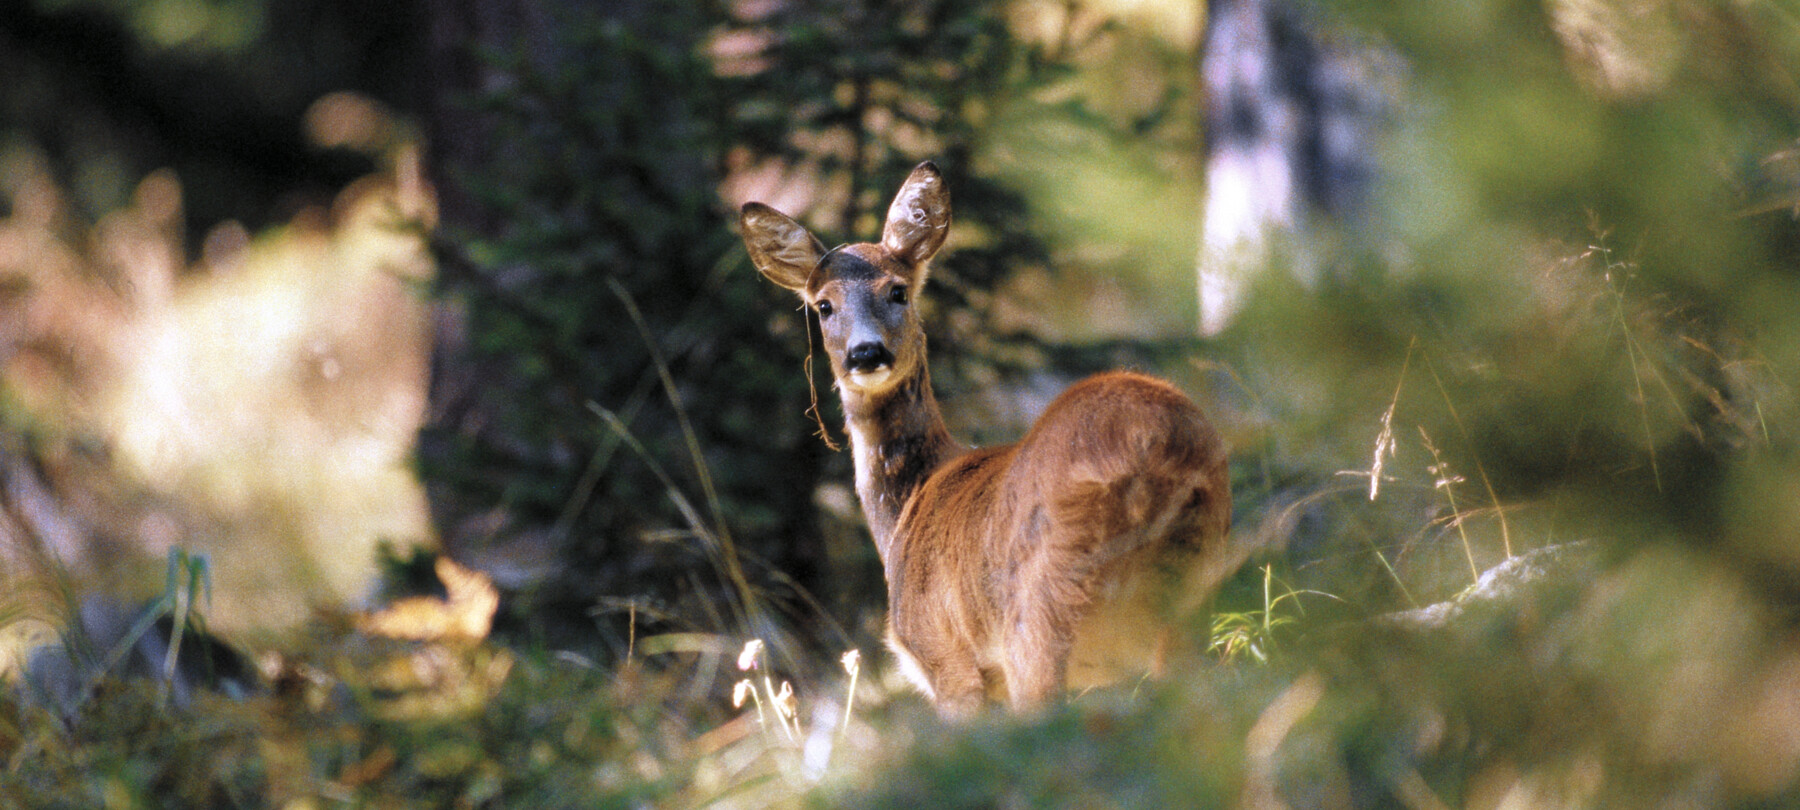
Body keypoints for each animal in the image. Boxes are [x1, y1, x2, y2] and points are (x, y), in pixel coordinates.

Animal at [738, 162, 1231, 716]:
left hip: (1038, 606)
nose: (866, 353)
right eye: (823, 305)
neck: (909, 503)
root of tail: (1151, 445)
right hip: (1196, 581)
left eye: (897, 291)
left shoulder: (945, 657)